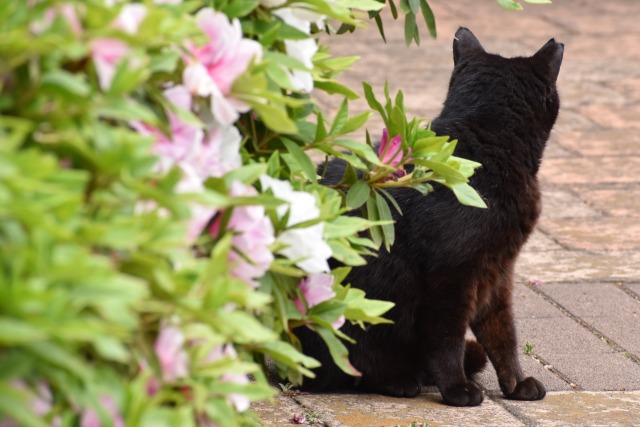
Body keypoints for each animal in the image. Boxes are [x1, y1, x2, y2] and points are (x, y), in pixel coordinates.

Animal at [296, 27, 564, 408]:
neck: (484, 153)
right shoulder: (451, 277)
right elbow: (447, 338)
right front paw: (457, 389)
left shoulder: (498, 272)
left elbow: (503, 335)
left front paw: (515, 384)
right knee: (348, 368)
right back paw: (400, 380)